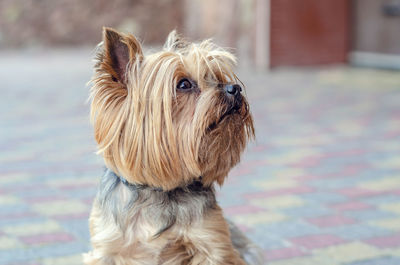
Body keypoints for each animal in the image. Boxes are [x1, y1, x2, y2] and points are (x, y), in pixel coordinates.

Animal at [83, 27, 264, 264]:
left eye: (217, 77)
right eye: (184, 84)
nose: (235, 88)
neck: (159, 190)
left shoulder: (213, 242)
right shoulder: (106, 248)